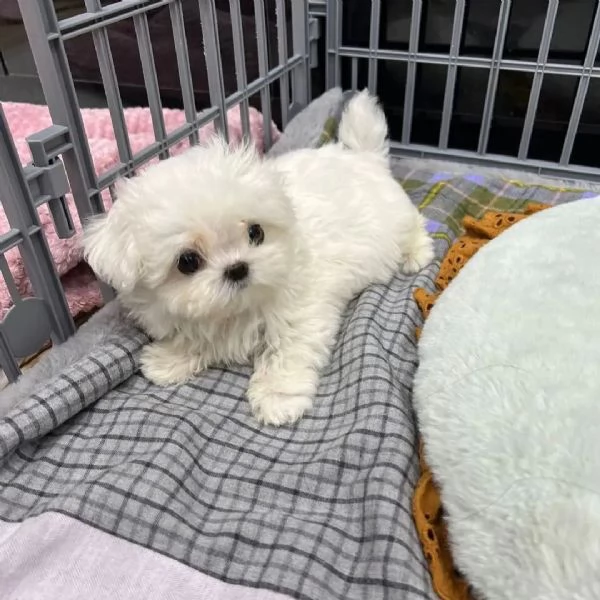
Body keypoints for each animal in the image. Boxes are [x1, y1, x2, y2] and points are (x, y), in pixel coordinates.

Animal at [83, 90, 432, 426]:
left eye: (256, 232)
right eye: (187, 262)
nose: (238, 268)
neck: (236, 309)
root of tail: (363, 157)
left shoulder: (301, 312)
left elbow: (287, 350)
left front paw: (278, 397)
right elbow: (194, 338)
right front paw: (169, 360)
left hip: (395, 223)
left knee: (415, 226)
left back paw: (417, 253)